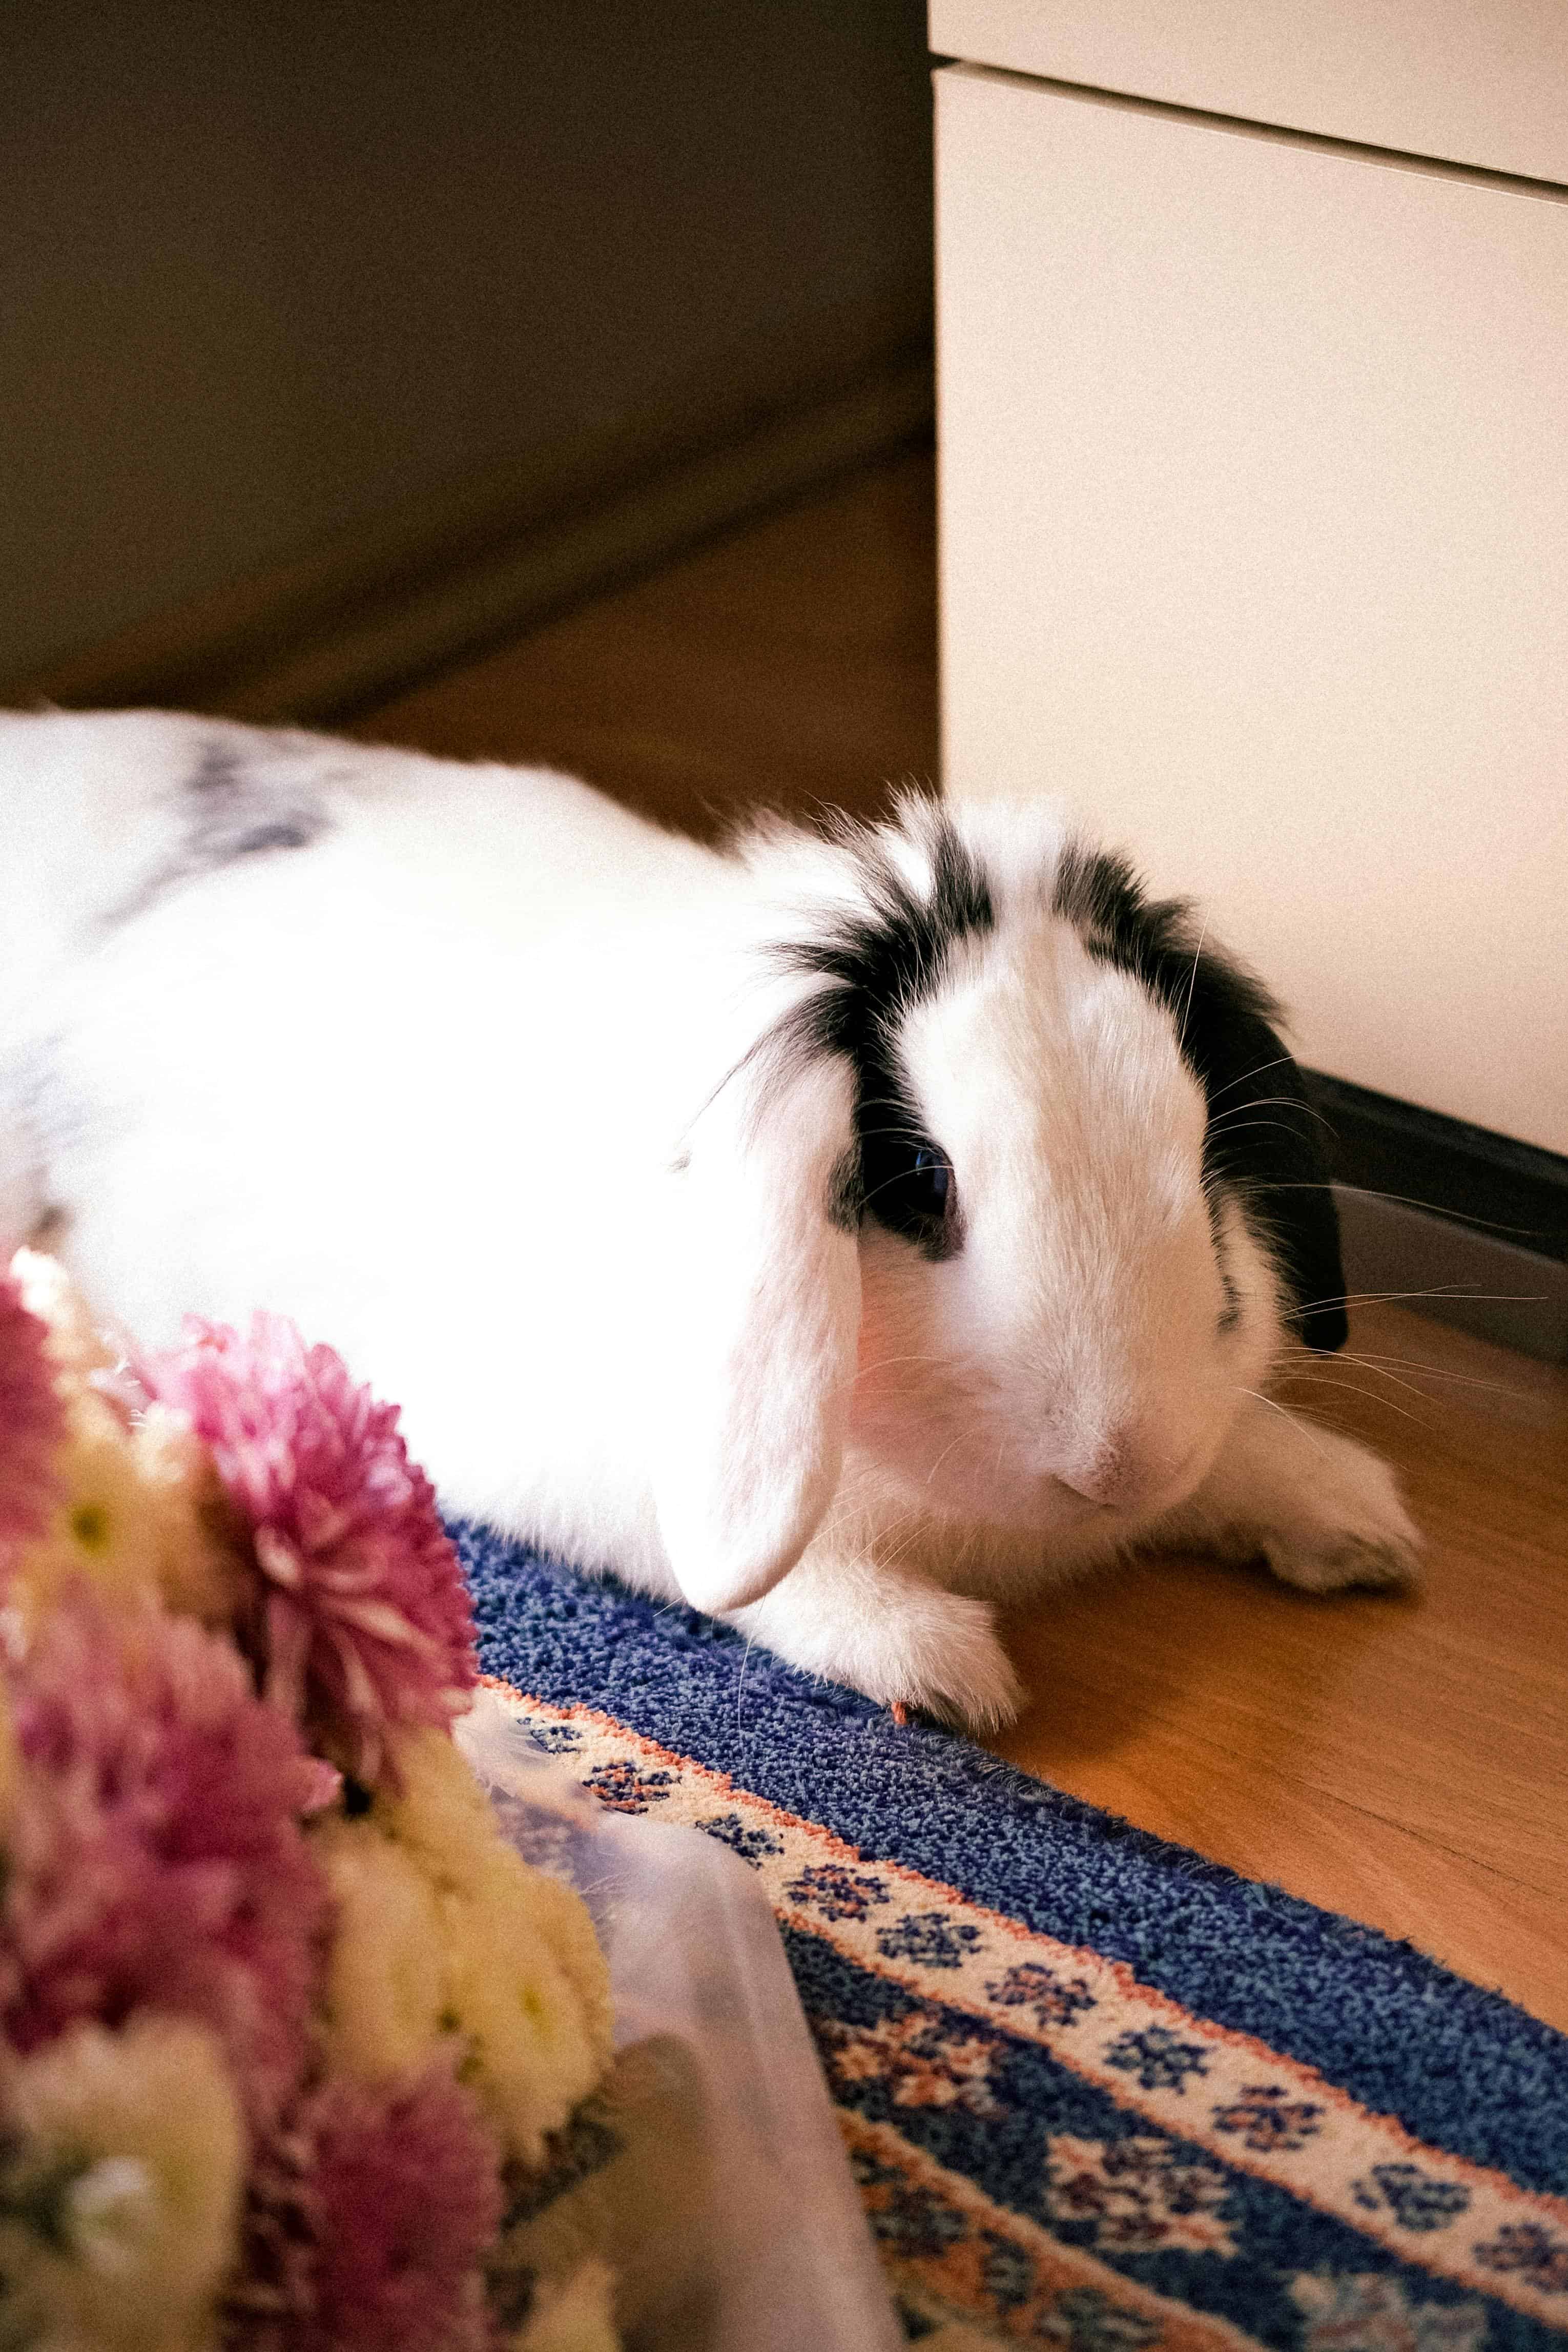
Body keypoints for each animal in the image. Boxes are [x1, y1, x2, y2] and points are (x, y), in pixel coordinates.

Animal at [0, 707, 1420, 1727]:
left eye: (1202, 1156)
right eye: (923, 1180)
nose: (1116, 1461)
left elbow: (1238, 1455)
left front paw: (1360, 1528)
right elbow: (757, 1582)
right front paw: (944, 1673)